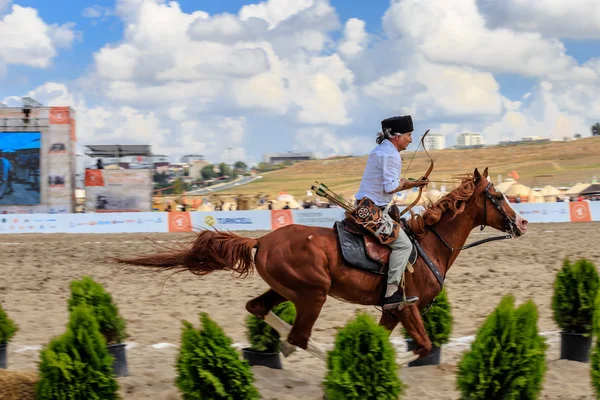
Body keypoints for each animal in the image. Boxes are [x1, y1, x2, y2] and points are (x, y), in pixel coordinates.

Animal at [112, 167, 524, 364]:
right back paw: (322, 357)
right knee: (299, 335)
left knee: (258, 308)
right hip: (313, 295)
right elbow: (422, 346)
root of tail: (262, 240)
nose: (521, 222)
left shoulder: (392, 311)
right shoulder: (408, 307)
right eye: (497, 195)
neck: (428, 246)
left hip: (286, 289)